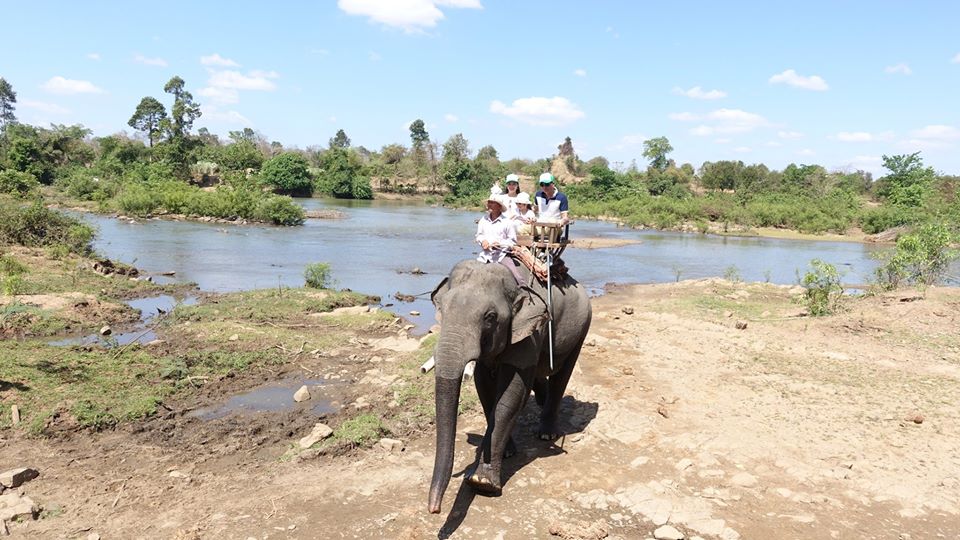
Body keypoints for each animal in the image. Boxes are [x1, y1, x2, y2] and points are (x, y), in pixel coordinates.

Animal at [430, 260, 592, 512]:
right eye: (441, 307)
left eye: (490, 316)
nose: (435, 509)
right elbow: (485, 388)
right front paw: (507, 452)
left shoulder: (531, 332)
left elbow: (511, 395)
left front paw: (482, 483)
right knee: (539, 374)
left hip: (581, 327)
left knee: (562, 375)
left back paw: (546, 434)